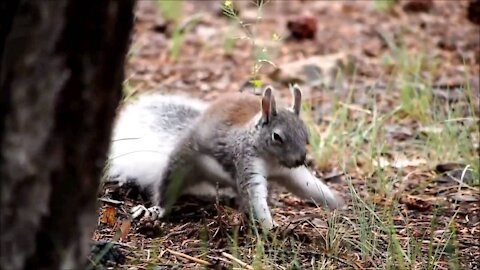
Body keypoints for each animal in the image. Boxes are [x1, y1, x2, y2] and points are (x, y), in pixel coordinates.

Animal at [106, 85, 344, 229]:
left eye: (306, 134)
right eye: (277, 136)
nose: (299, 160)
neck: (271, 159)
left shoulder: (288, 172)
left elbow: (307, 185)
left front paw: (337, 202)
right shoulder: (245, 161)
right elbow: (254, 196)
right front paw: (270, 227)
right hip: (181, 164)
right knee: (166, 189)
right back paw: (155, 210)